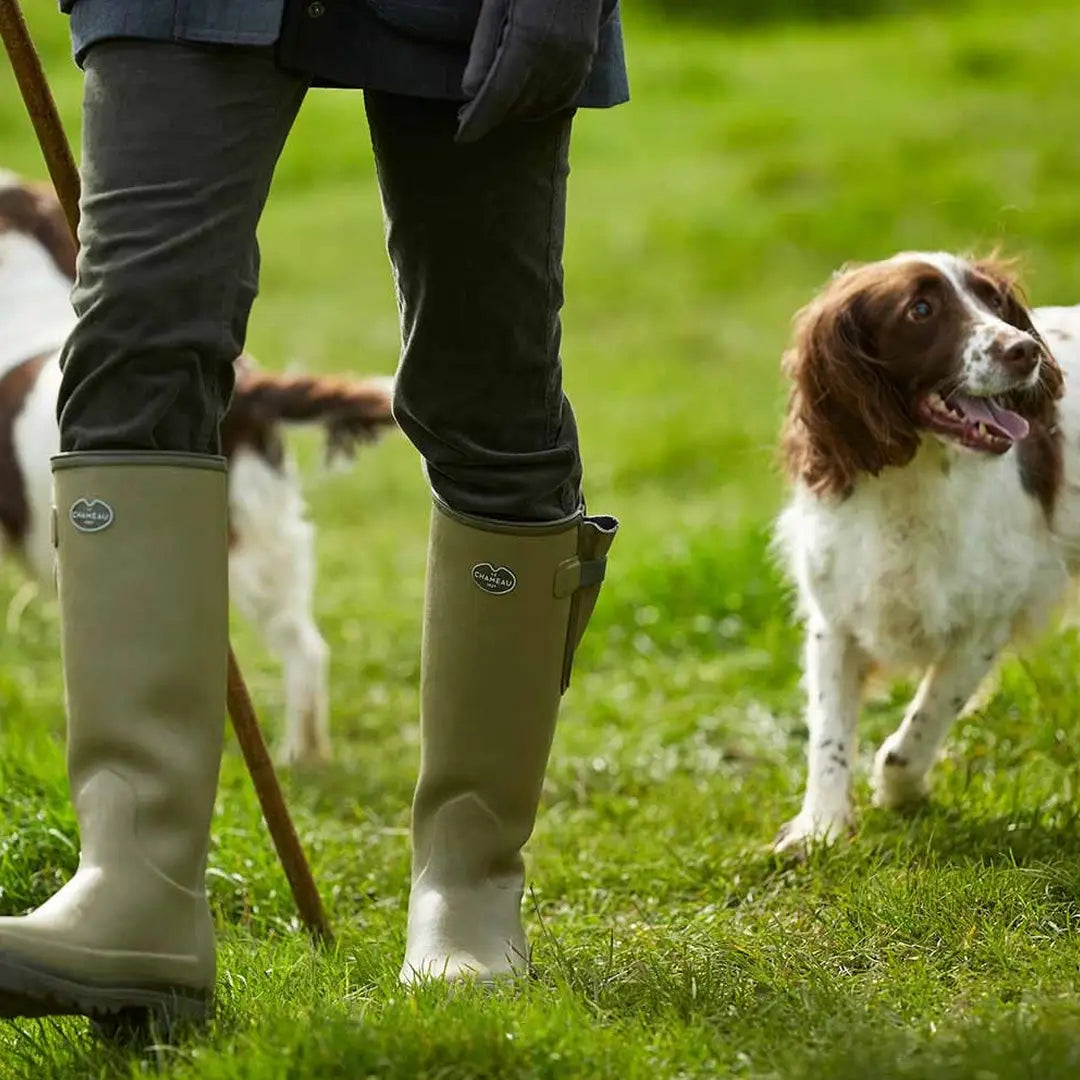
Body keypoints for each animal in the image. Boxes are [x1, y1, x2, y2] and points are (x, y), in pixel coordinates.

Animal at [777, 252, 1080, 851]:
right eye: (920, 310)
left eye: (993, 300)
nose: (1025, 350)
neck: (910, 482)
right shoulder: (835, 619)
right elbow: (828, 734)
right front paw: (821, 826)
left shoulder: (984, 625)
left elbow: (922, 723)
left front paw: (900, 790)